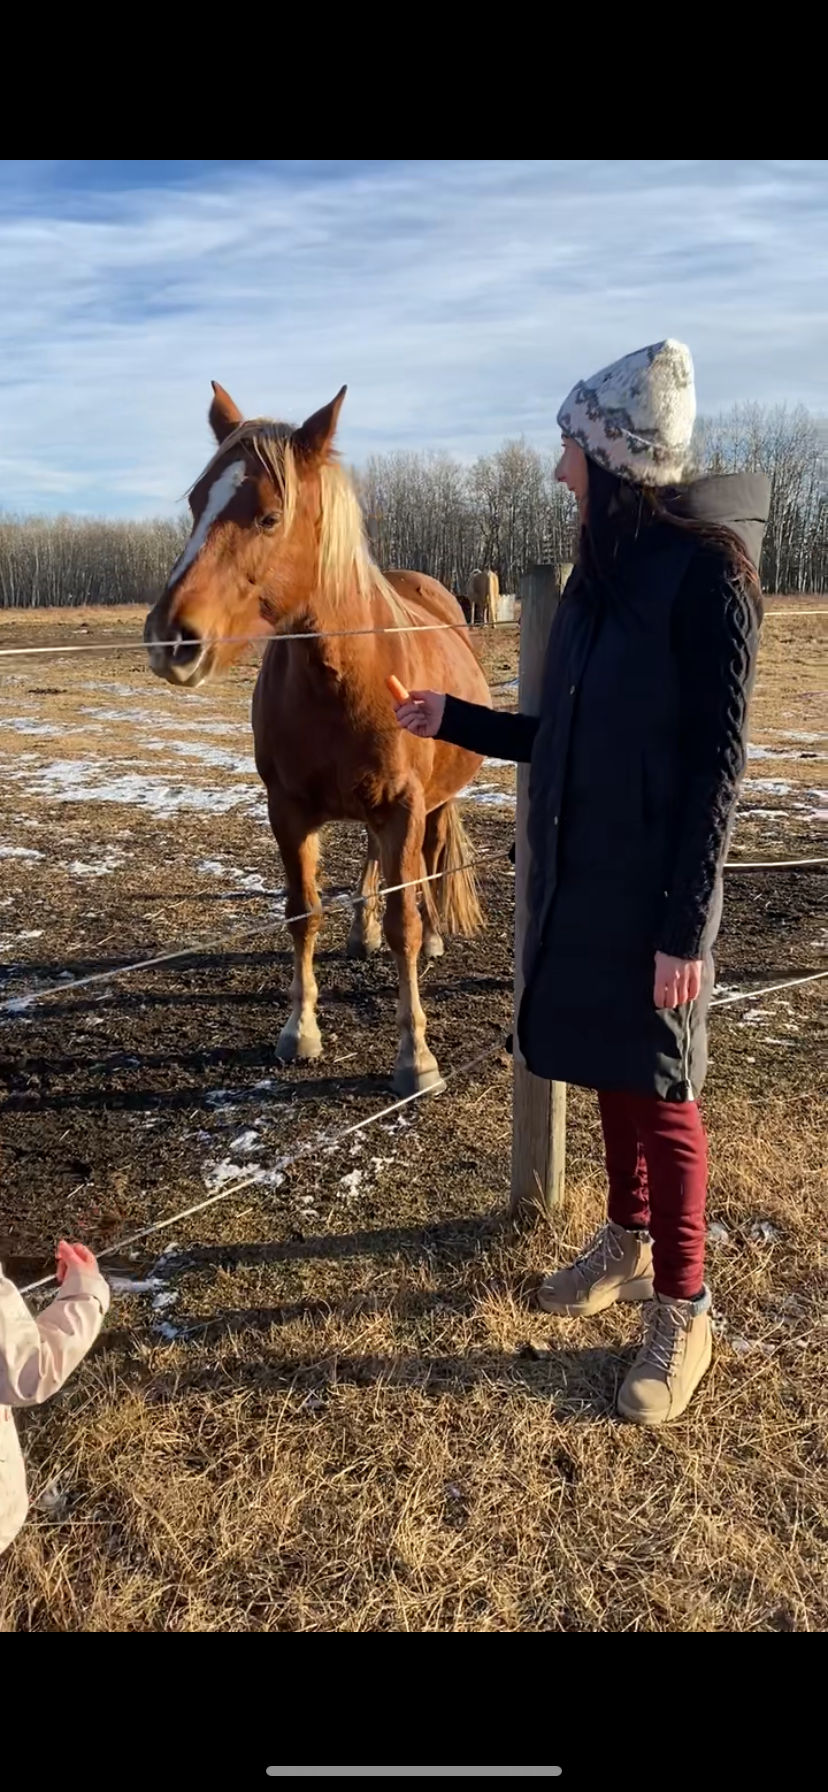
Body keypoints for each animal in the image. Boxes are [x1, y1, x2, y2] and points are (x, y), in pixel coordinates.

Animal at [144, 383, 492, 1096]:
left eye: (269, 517)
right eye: (196, 504)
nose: (172, 640)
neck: (345, 673)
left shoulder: (404, 806)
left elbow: (404, 922)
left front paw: (415, 1056)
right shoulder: (289, 809)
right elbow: (302, 912)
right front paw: (299, 1030)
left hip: (433, 804)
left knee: (427, 864)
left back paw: (434, 935)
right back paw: (360, 932)